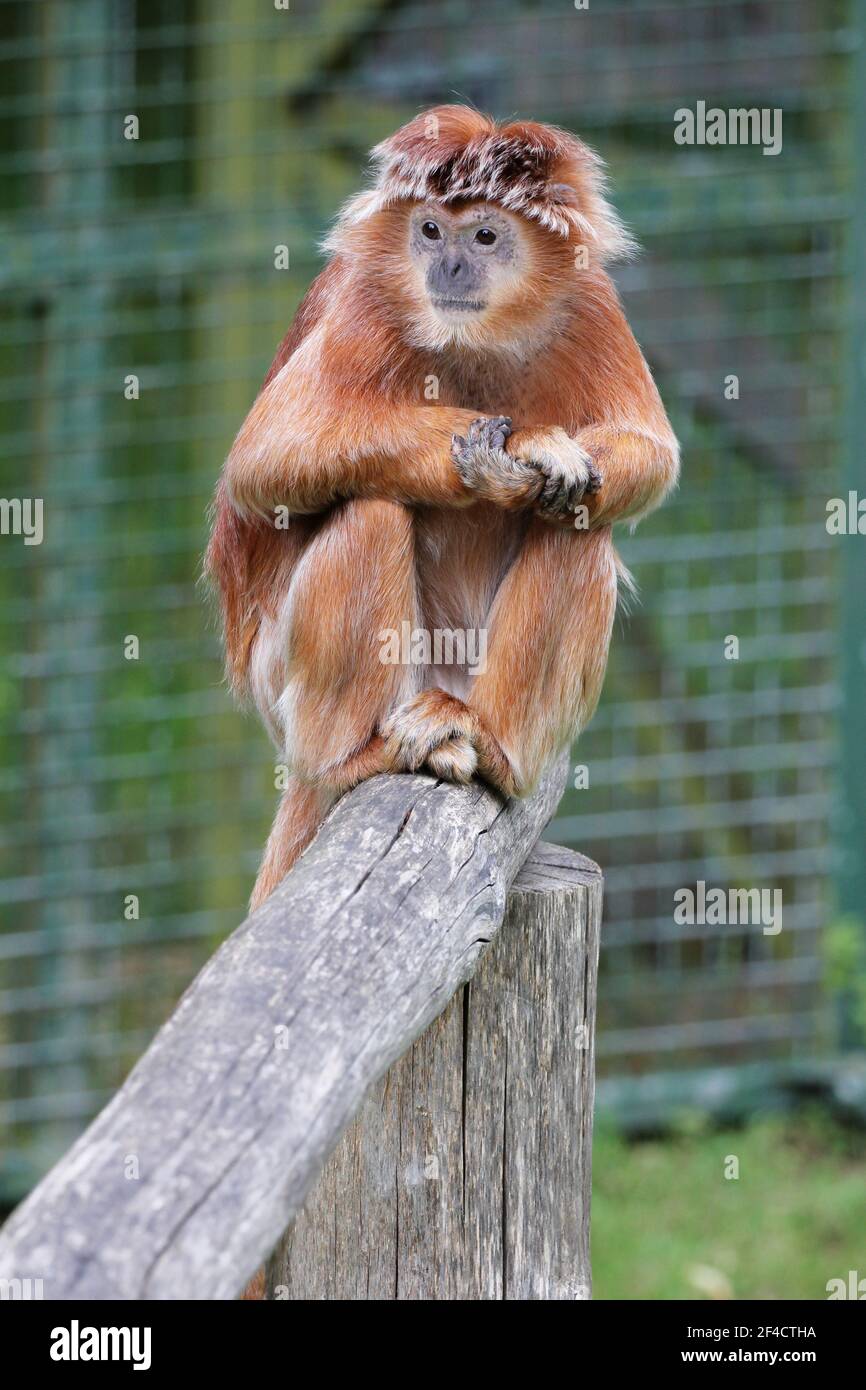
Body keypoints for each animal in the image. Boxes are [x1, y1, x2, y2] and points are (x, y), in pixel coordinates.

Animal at [206, 105, 679, 914]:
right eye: (430, 230)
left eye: (483, 236)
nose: (446, 268)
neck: (473, 337)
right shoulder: (363, 302)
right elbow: (267, 457)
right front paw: (517, 452)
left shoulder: (591, 300)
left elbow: (651, 455)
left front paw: (543, 458)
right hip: (280, 682)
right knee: (371, 512)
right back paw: (350, 758)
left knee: (578, 522)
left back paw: (492, 747)